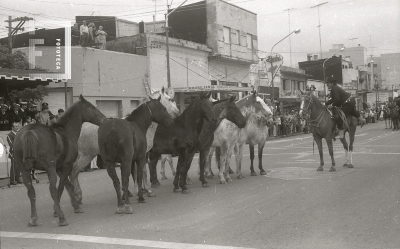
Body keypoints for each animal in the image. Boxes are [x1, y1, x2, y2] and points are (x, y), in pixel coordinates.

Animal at [12, 96, 106, 228]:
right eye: (92, 107)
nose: (105, 119)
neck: (65, 131)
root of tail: (29, 131)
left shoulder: (59, 168)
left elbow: (67, 185)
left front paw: (74, 205)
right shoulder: (66, 166)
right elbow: (61, 187)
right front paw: (59, 210)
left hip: (25, 170)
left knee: (31, 191)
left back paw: (33, 219)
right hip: (49, 168)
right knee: (52, 189)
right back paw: (62, 219)